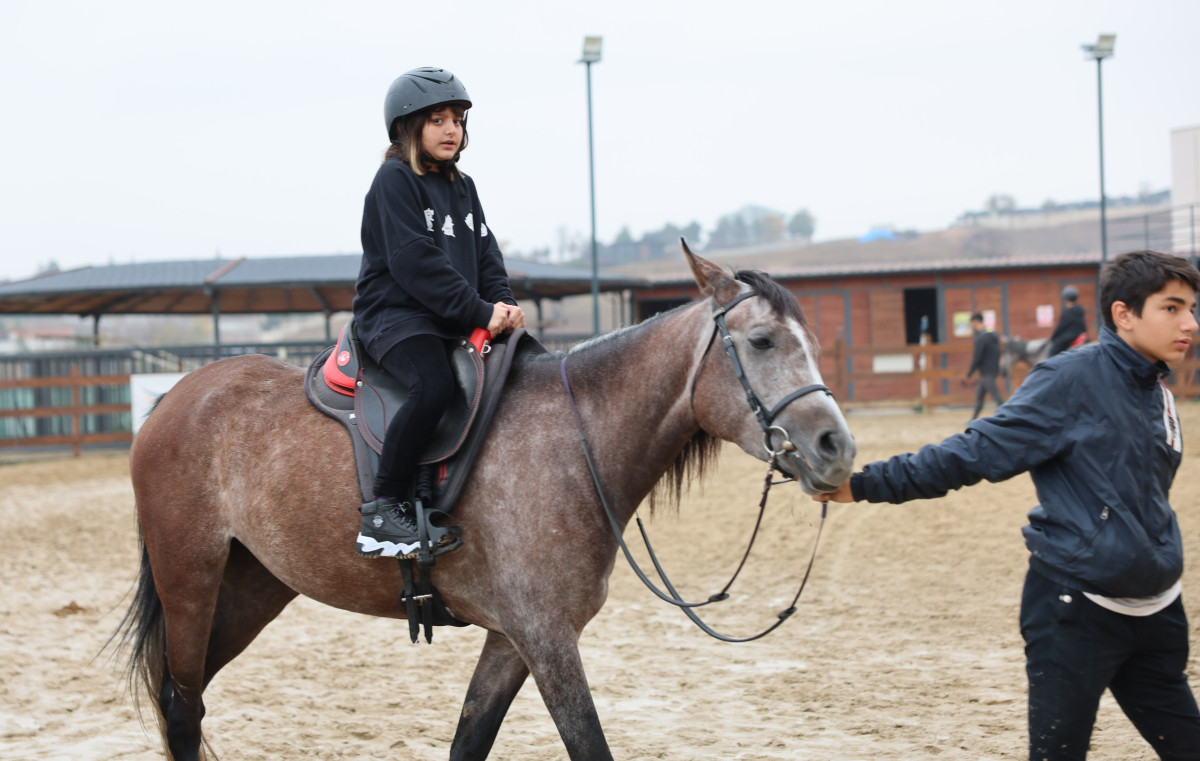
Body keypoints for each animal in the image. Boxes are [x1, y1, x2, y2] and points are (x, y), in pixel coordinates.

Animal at [119, 244, 854, 758]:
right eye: (761, 341)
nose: (835, 447)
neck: (573, 441)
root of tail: (174, 399)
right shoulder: (546, 637)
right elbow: (588, 745)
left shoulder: (511, 638)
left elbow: (469, 740)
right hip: (190, 578)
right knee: (182, 709)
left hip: (252, 585)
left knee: (186, 701)